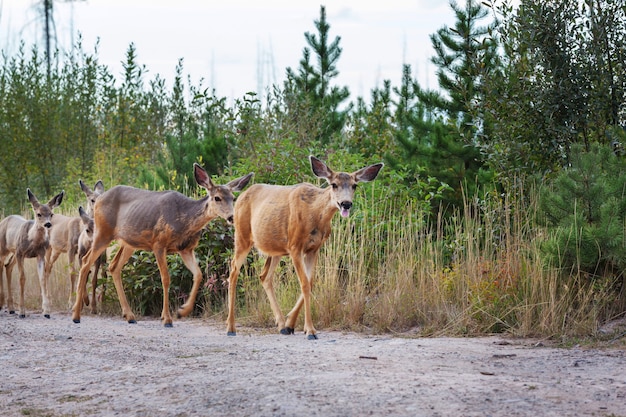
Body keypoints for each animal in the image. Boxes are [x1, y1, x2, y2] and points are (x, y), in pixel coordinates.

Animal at [0, 188, 64, 316]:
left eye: (51, 214)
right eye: (39, 214)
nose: (48, 224)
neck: (32, 241)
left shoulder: (40, 254)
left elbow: (42, 278)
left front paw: (46, 311)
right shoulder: (20, 253)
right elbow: (22, 278)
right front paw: (22, 311)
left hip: (13, 252)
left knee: (8, 266)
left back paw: (11, 308)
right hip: (3, 248)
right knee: (1, 267)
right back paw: (3, 304)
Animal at [70, 164, 251, 326]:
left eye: (233, 198)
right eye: (217, 198)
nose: (231, 217)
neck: (184, 219)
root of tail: (98, 199)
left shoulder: (185, 249)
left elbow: (199, 275)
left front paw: (182, 311)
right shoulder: (158, 244)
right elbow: (166, 278)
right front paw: (167, 318)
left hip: (129, 243)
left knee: (113, 266)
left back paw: (129, 316)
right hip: (103, 233)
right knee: (86, 262)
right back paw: (76, 314)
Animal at [224, 154, 380, 340]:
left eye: (354, 185)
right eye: (333, 184)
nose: (346, 203)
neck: (314, 213)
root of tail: (240, 196)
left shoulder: (313, 249)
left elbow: (310, 283)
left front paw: (291, 324)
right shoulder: (295, 247)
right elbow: (304, 284)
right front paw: (310, 330)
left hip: (275, 249)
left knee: (264, 276)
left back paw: (281, 325)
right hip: (242, 237)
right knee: (233, 272)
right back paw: (231, 328)